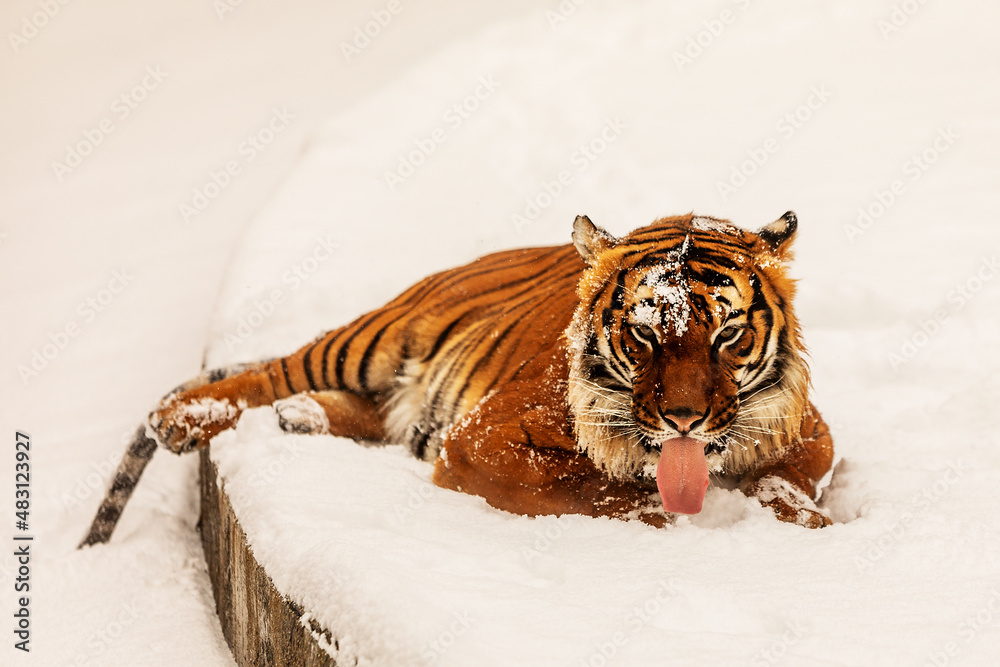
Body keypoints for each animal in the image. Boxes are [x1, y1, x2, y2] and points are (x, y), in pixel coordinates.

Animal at [80, 211, 834, 547]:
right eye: (644, 334)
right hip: (370, 340)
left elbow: (794, 478)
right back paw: (187, 418)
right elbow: (592, 489)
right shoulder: (485, 437)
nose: (684, 418)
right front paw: (664, 516)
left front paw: (808, 520)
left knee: (368, 412)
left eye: (728, 335)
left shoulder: (811, 434)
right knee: (268, 370)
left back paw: (303, 416)